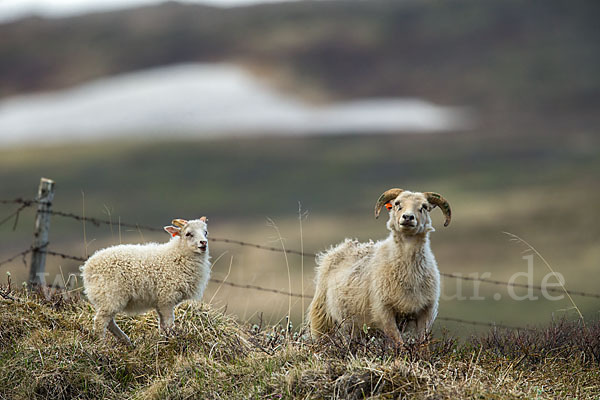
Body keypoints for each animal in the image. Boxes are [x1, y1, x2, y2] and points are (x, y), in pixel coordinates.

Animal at [79, 217, 211, 346]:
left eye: (205, 232)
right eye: (188, 234)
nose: (203, 243)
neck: (178, 255)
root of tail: (87, 268)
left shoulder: (160, 302)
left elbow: (163, 325)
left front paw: (164, 341)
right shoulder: (167, 298)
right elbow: (169, 323)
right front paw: (173, 342)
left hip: (106, 298)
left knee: (110, 323)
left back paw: (127, 342)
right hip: (111, 295)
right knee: (100, 321)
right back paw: (102, 345)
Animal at [308, 189, 452, 342]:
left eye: (424, 207)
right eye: (397, 204)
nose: (407, 217)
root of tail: (342, 246)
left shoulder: (426, 311)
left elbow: (421, 341)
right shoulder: (383, 311)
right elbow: (397, 341)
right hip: (323, 319)